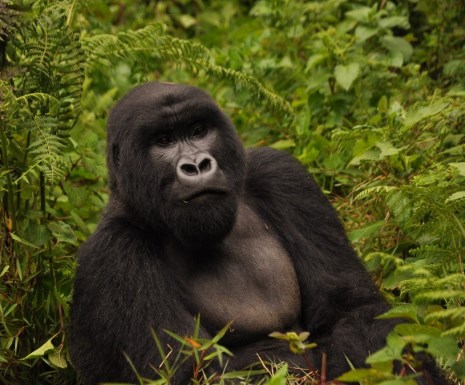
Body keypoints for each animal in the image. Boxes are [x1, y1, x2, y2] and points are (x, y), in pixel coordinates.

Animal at [69, 82, 446, 382]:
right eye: (163, 141)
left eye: (198, 130)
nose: (197, 165)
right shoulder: (114, 255)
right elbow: (192, 371)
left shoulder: (281, 175)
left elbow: (353, 311)